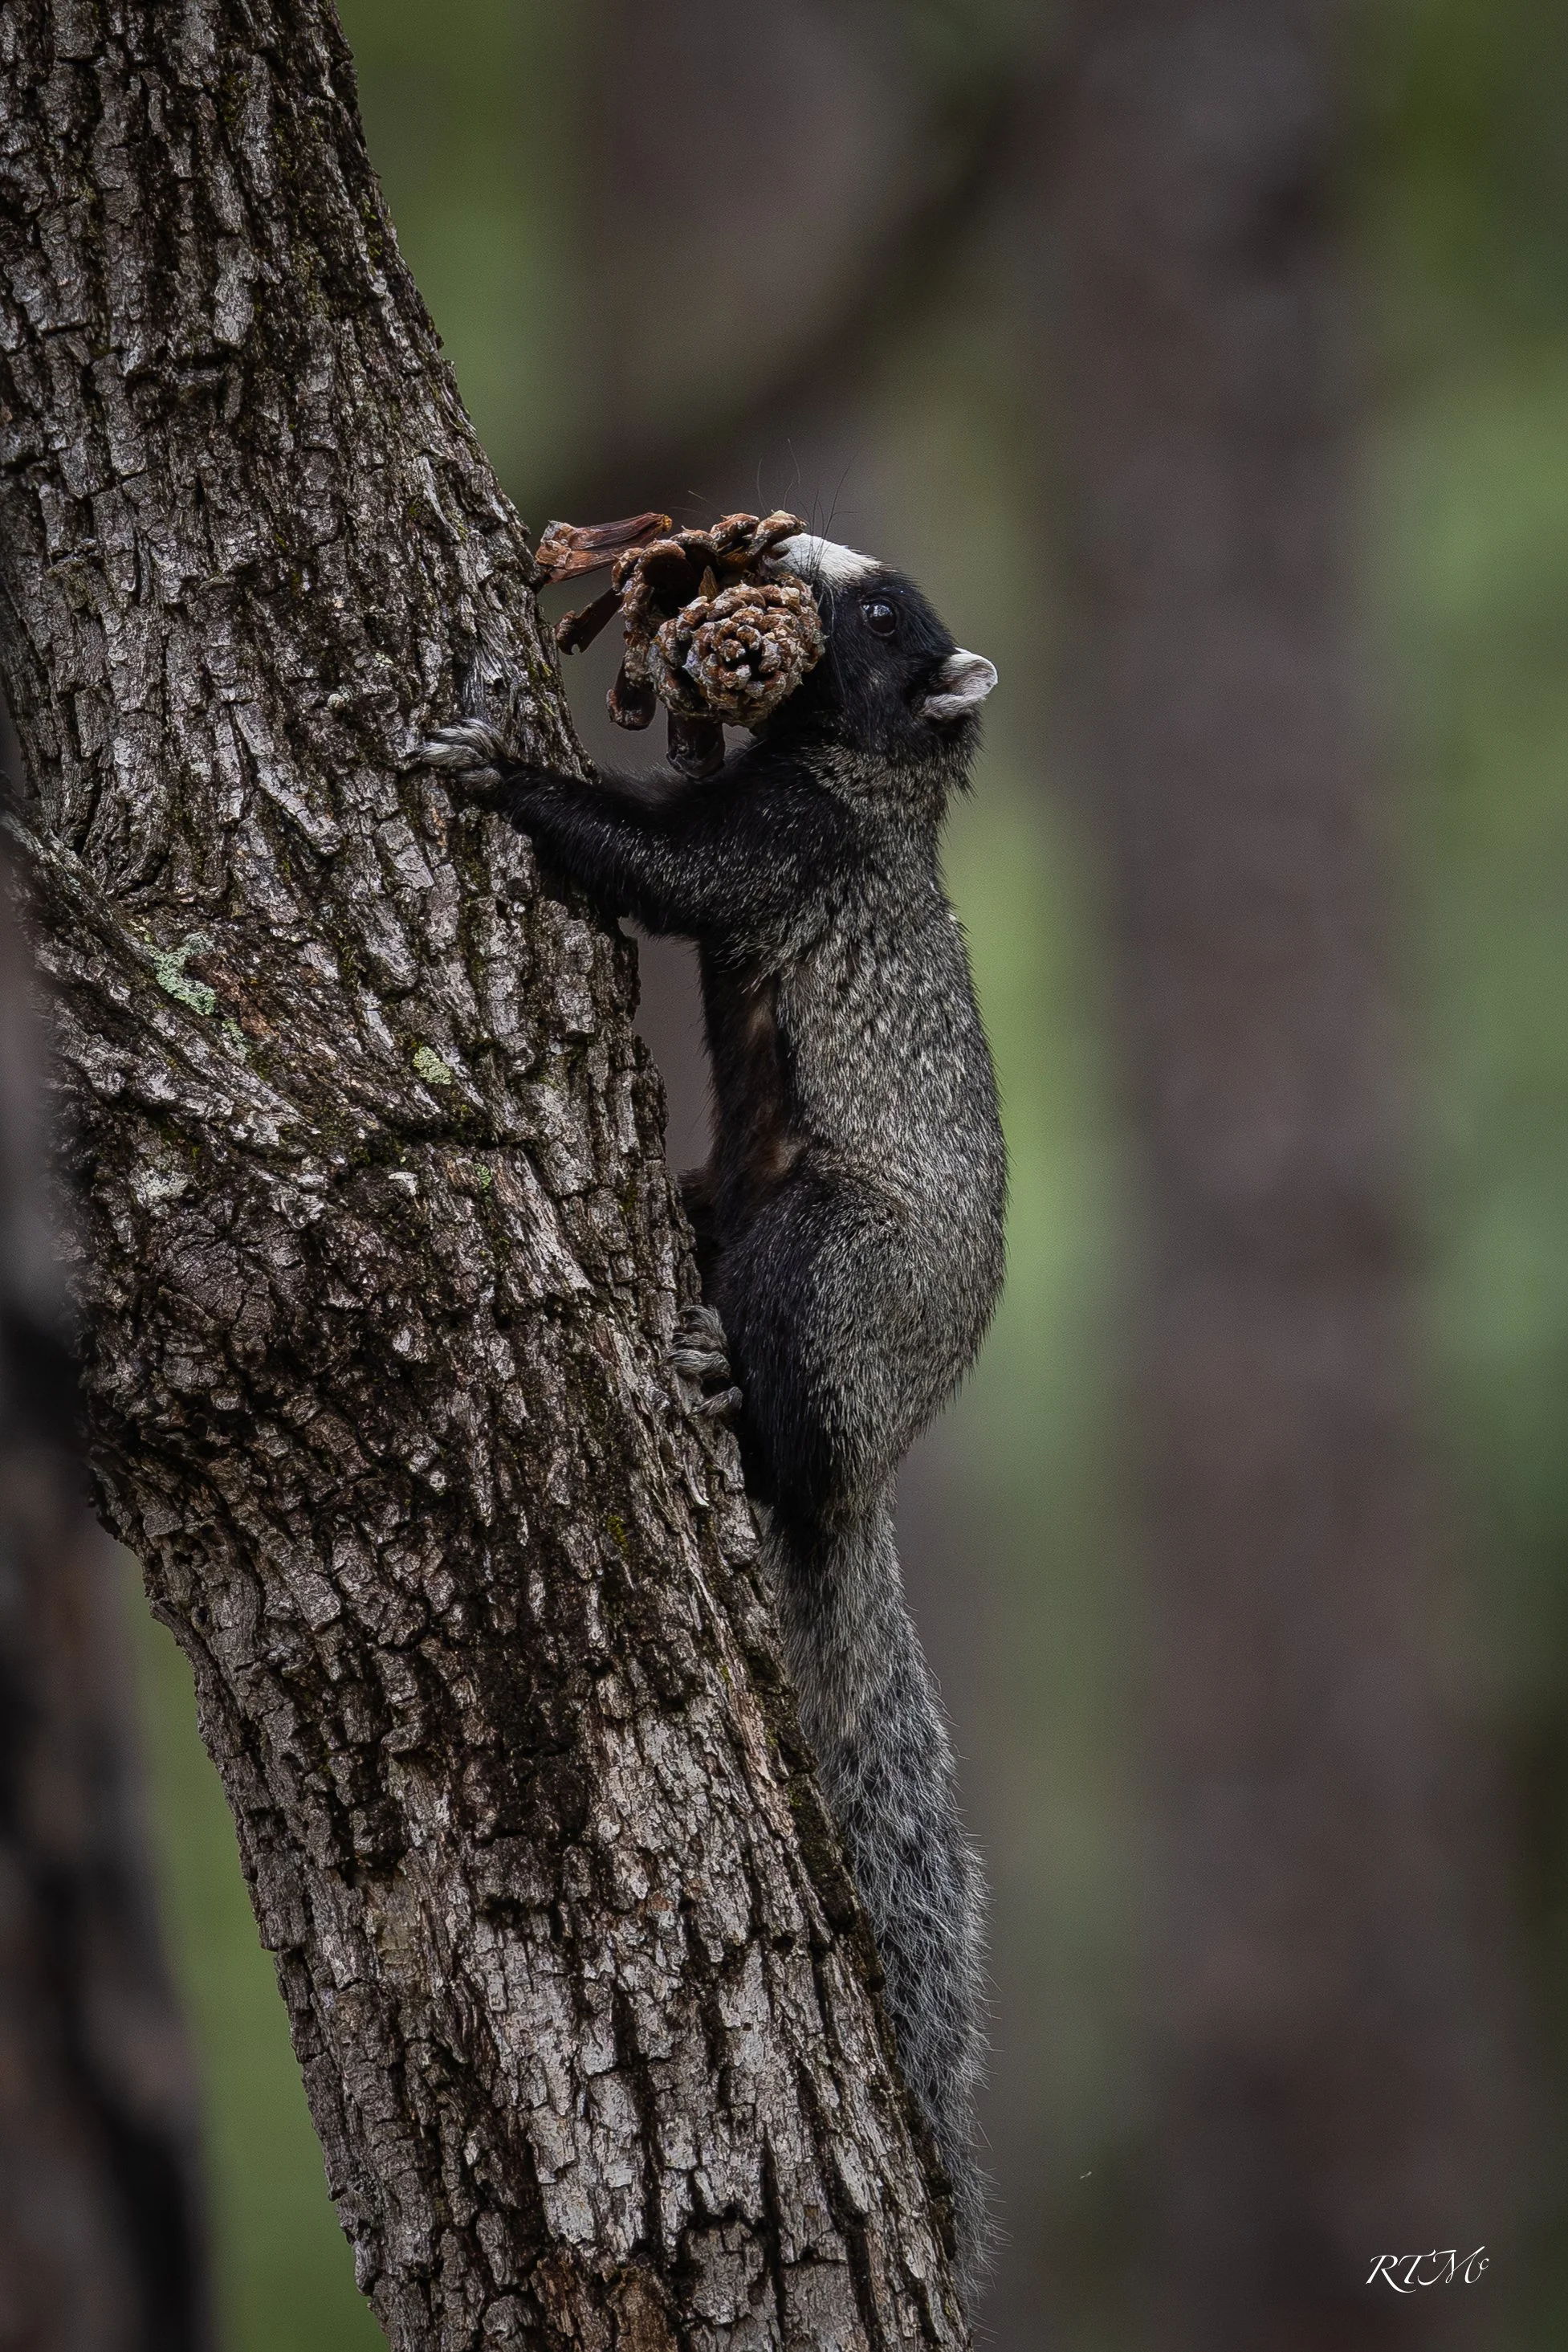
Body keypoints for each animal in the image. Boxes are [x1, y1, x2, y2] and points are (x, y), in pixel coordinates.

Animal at [424, 532, 1006, 2302]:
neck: (864, 781)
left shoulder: (785, 851)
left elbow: (672, 873)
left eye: (882, 616)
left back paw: (724, 1386)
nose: (786, 549)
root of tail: (865, 1473)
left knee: (780, 1386)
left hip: (820, 1254)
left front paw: (500, 765)